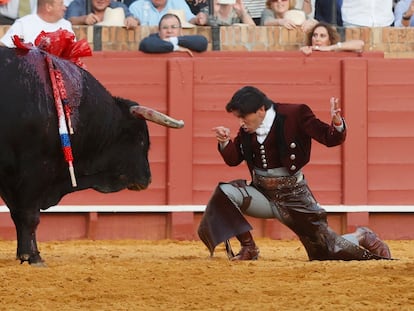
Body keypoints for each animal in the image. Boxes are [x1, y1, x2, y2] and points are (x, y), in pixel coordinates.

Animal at [0, 47, 183, 266]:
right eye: (141, 139)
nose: (147, 178)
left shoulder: (10, 178)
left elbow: (17, 213)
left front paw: (24, 254)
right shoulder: (35, 169)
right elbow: (29, 214)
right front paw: (34, 257)